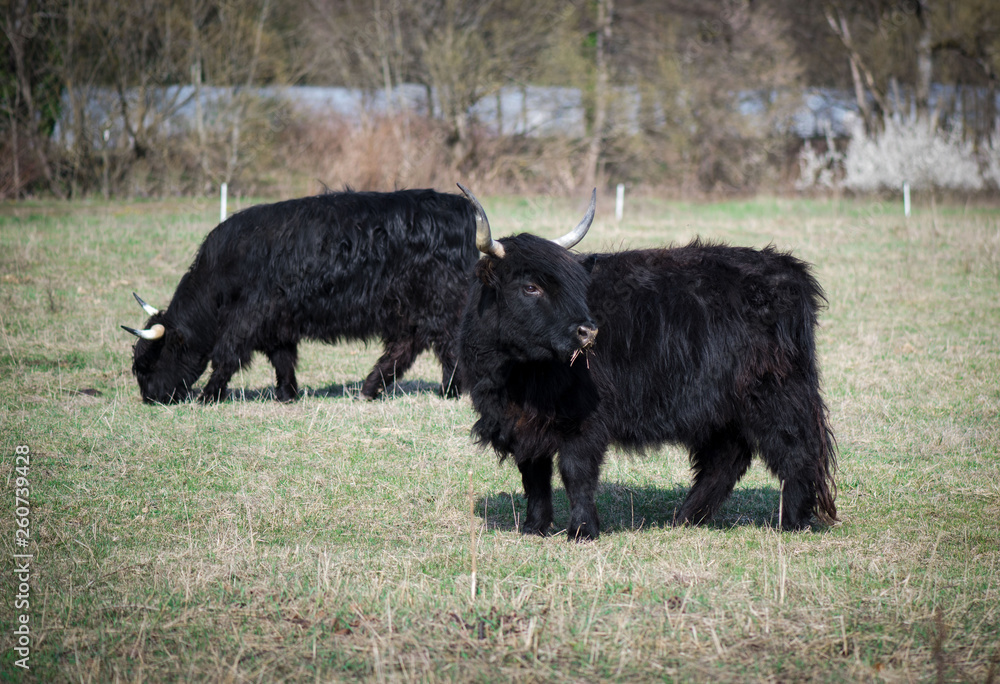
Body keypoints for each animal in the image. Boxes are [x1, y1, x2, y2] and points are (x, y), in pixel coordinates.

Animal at [121, 189, 479, 404]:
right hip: (407, 310)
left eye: (151, 362)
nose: (150, 398)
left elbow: (228, 354)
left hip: (440, 303)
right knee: (404, 349)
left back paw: (449, 391)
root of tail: (458, 206)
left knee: (446, 344)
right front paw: (286, 393)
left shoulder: (250, 316)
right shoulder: (276, 321)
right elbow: (282, 357)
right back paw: (368, 388)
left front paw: (209, 395)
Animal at [455, 184, 837, 541]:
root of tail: (787, 270)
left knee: (796, 449)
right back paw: (686, 517)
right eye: (530, 286)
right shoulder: (518, 423)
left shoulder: (584, 420)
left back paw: (792, 521)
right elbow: (534, 475)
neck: (517, 374)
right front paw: (534, 527)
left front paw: (582, 530)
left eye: (575, 285)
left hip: (773, 392)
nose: (588, 330)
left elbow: (576, 471)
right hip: (722, 405)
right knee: (727, 458)